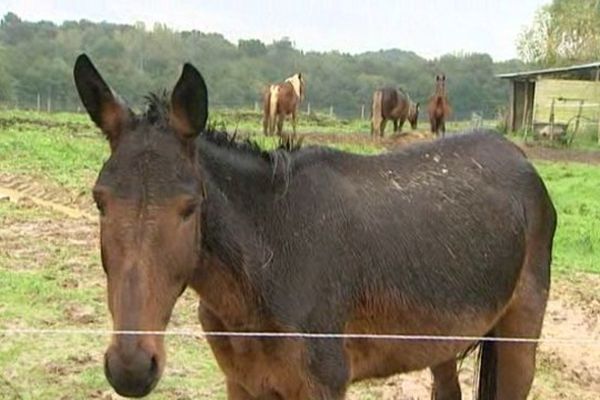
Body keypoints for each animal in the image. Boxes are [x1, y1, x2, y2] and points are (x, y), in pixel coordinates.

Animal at [75, 54, 556, 400]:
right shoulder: (243, 382)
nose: (131, 369)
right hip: (444, 337)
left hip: (519, 333)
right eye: (99, 201)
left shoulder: (321, 384)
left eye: (190, 207)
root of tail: (518, 156)